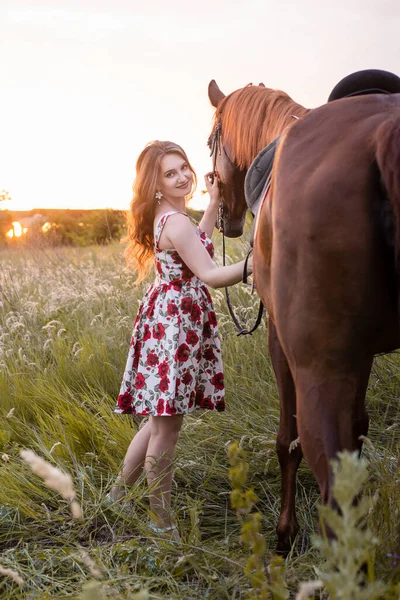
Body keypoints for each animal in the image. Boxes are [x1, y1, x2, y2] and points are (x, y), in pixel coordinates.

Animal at [208, 78, 400, 552]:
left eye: (209, 143)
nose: (225, 220)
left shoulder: (280, 342)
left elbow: (286, 441)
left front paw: (284, 533)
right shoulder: (359, 358)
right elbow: (359, 427)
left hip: (319, 376)